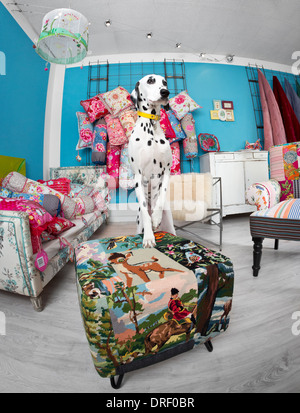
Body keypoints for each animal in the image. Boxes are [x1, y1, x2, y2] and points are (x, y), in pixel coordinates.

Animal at [128, 73, 176, 248]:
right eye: (150, 80)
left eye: (165, 82)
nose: (165, 92)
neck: (151, 125)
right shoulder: (138, 177)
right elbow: (145, 212)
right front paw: (148, 237)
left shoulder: (167, 171)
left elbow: (161, 196)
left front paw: (156, 216)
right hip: (138, 222)